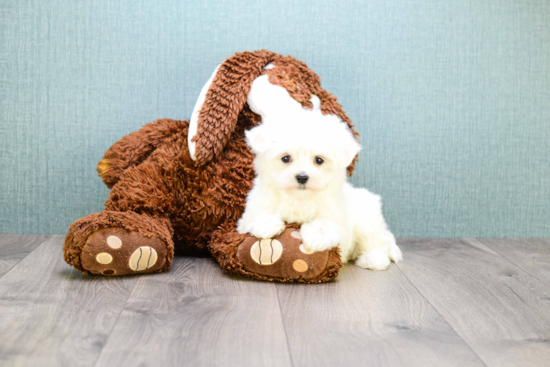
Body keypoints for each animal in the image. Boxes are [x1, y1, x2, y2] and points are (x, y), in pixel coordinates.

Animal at [238, 105, 406, 270]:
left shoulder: (338, 219)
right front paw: (267, 224)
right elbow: (257, 216)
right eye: (286, 158)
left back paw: (374, 259)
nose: (302, 177)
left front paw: (317, 236)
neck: (299, 199)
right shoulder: (249, 214)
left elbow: (326, 222)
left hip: (366, 220)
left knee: (377, 240)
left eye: (319, 160)